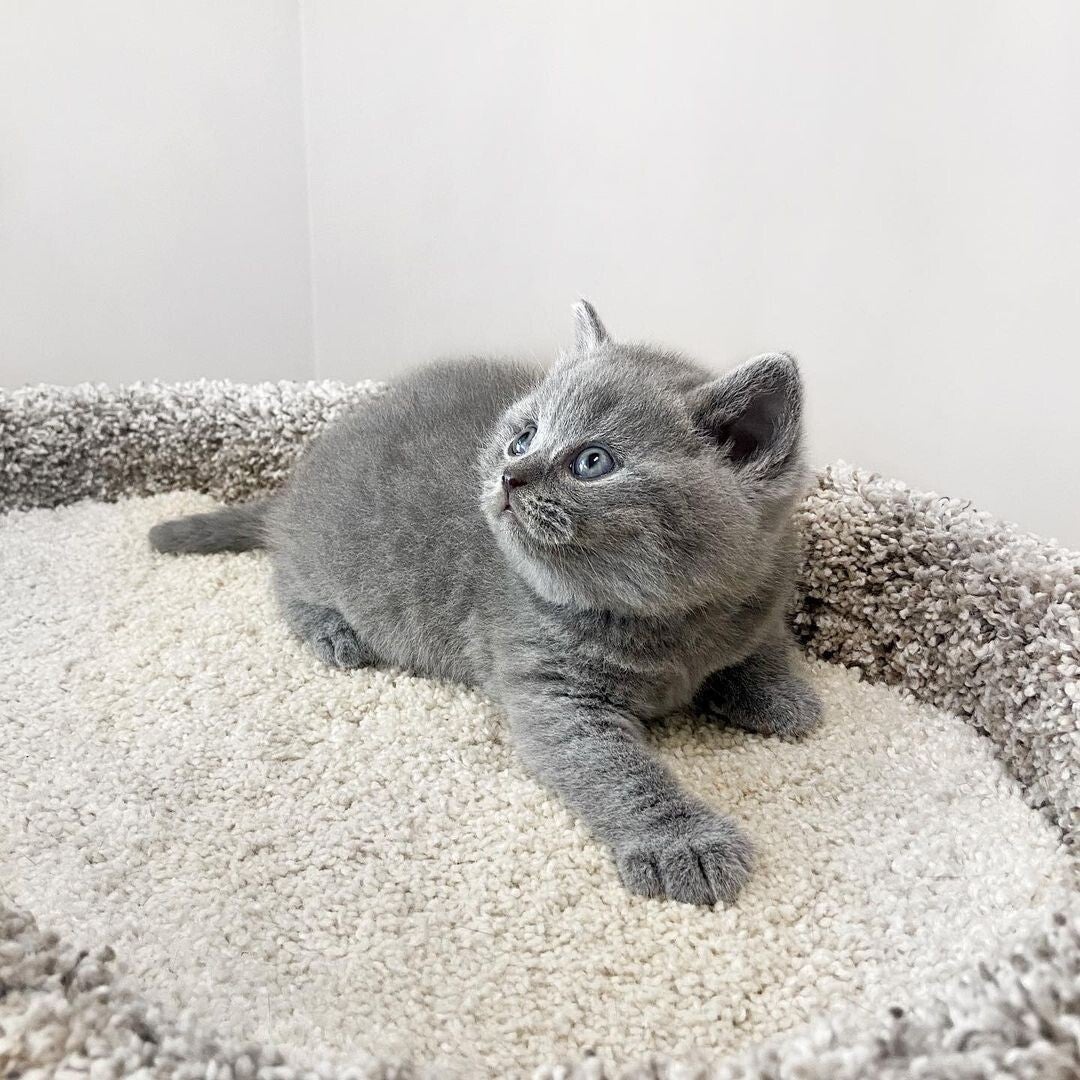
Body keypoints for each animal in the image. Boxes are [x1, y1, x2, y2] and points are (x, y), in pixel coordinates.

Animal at [149, 301, 821, 905]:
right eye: (523, 439)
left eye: (592, 462)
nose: (509, 475)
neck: (670, 625)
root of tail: (295, 483)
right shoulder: (553, 693)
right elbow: (616, 771)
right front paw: (683, 842)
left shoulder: (762, 585)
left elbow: (763, 643)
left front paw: (784, 695)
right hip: (318, 557)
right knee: (285, 576)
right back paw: (332, 631)